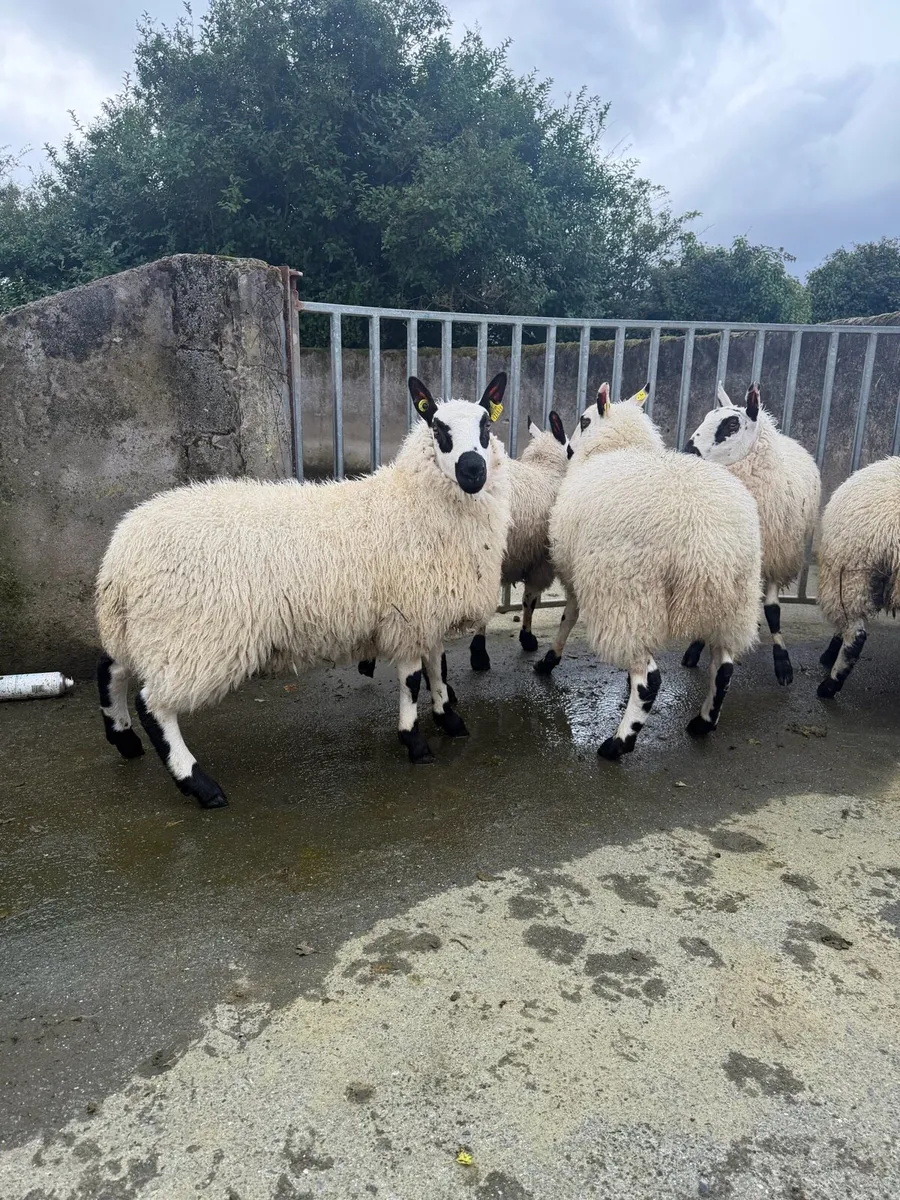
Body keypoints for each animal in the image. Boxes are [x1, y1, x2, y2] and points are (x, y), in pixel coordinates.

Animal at [95, 374, 511, 808]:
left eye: (486, 425)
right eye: (439, 430)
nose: (473, 470)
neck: (413, 501)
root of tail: (121, 554)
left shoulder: (426, 610)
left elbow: (437, 667)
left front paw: (449, 719)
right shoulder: (408, 613)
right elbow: (414, 680)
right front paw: (415, 743)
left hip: (148, 629)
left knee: (111, 667)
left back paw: (123, 738)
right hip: (193, 636)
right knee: (152, 705)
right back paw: (198, 783)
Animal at [535, 382, 761, 759]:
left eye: (584, 420)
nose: (567, 449)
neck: (617, 447)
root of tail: (704, 539)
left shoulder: (579, 576)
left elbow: (568, 617)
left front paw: (548, 660)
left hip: (627, 595)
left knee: (650, 678)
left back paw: (618, 743)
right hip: (733, 603)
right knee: (724, 666)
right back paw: (703, 722)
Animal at [683, 382, 821, 685]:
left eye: (732, 424)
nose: (688, 451)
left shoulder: (776, 556)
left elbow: (773, 610)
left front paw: (783, 663)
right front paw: (696, 646)